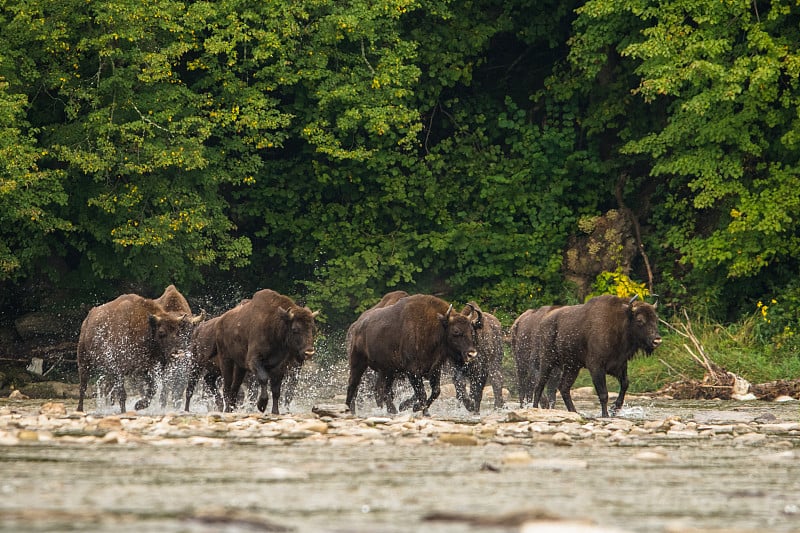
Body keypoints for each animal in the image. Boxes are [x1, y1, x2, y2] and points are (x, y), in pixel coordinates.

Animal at [77, 290, 205, 412]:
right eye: (161, 332)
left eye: (178, 332)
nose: (178, 353)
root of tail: (87, 319)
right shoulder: (119, 368)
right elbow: (122, 393)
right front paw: (125, 410)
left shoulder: (144, 368)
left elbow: (152, 389)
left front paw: (138, 405)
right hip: (84, 361)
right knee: (83, 386)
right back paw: (80, 409)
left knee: (107, 389)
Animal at [346, 296, 482, 416]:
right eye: (456, 331)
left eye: (472, 331)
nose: (472, 353)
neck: (435, 327)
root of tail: (356, 326)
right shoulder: (412, 371)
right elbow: (422, 393)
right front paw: (423, 411)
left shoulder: (434, 369)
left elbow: (435, 391)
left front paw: (412, 407)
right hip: (358, 362)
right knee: (353, 385)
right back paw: (350, 410)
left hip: (387, 371)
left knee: (383, 390)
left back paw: (392, 410)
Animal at [532, 296, 664, 416]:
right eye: (640, 320)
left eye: (656, 319)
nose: (657, 340)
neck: (619, 323)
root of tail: (543, 321)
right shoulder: (596, 368)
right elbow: (603, 394)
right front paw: (605, 415)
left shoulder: (619, 365)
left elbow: (625, 384)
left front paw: (614, 409)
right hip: (548, 362)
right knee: (539, 385)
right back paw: (534, 408)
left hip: (573, 367)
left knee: (564, 387)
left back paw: (574, 411)